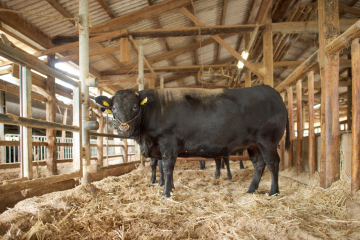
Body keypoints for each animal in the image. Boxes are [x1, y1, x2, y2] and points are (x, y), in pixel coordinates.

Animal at [95, 85, 290, 198]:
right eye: (113, 108)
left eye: (135, 106)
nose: (123, 129)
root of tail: (270, 90)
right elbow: (165, 169)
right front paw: (171, 187)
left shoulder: (167, 143)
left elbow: (167, 168)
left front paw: (166, 193)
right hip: (253, 144)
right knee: (259, 164)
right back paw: (251, 189)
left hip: (267, 140)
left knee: (272, 163)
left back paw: (274, 191)